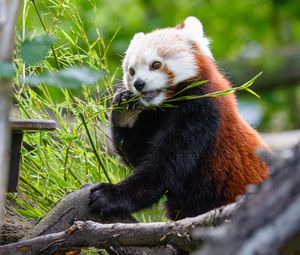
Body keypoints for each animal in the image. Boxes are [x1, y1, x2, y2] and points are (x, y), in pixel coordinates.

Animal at [89, 16, 270, 223]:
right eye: (132, 71)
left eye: (156, 64)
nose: (138, 84)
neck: (169, 103)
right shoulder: (154, 116)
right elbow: (137, 155)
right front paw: (124, 109)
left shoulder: (202, 113)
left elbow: (163, 169)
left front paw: (110, 195)